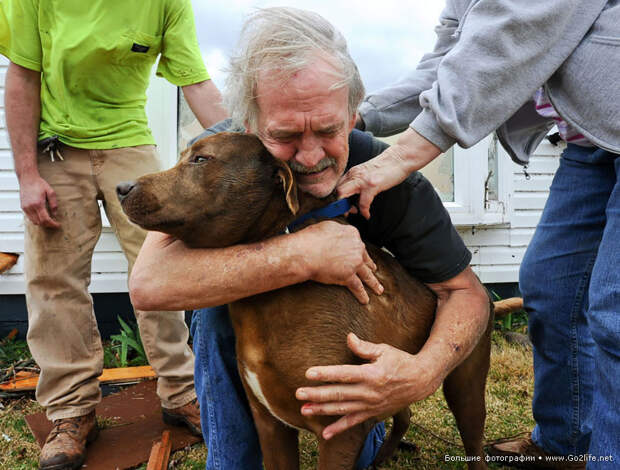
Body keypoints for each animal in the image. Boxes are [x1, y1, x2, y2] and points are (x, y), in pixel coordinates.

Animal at [116, 132, 494, 470]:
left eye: (201, 159)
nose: (121, 188)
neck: (266, 302)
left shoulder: (339, 430)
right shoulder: (270, 426)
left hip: (465, 386)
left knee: (473, 445)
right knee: (404, 409)